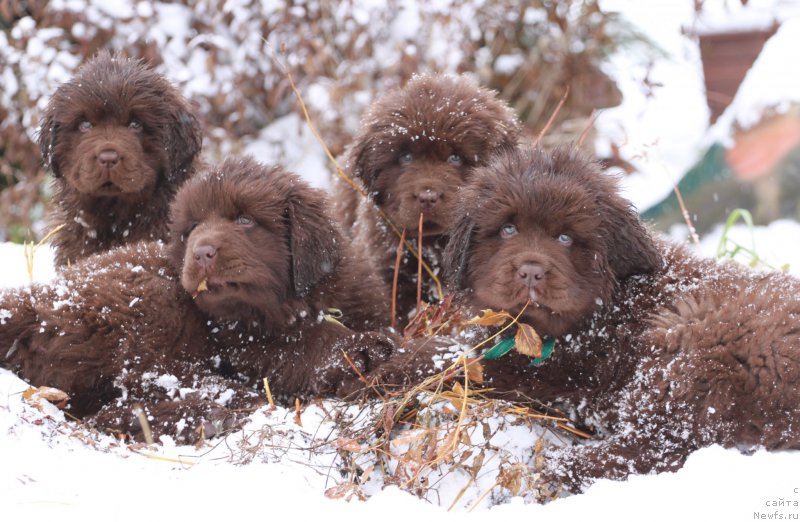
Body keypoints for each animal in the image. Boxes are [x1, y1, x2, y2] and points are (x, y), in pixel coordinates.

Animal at [0, 156, 390, 440]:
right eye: (192, 228)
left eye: (245, 220)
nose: (201, 252)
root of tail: (31, 302)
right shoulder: (248, 346)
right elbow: (302, 347)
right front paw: (359, 348)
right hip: (149, 309)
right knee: (147, 386)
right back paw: (211, 411)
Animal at [444, 147, 800, 492]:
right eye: (507, 229)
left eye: (565, 238)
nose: (531, 271)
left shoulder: (554, 369)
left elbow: (463, 366)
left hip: (687, 343)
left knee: (657, 449)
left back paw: (556, 465)